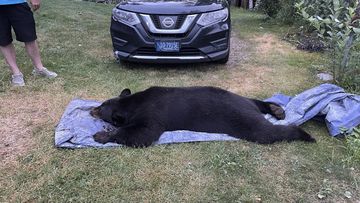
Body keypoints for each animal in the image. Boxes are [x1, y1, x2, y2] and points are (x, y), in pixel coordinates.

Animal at [90, 86, 316, 147]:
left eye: (101, 109)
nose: (91, 109)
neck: (133, 103)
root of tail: (249, 108)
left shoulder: (153, 116)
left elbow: (142, 134)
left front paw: (102, 135)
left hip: (247, 121)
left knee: (267, 132)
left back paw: (304, 134)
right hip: (244, 100)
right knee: (256, 101)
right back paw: (277, 110)